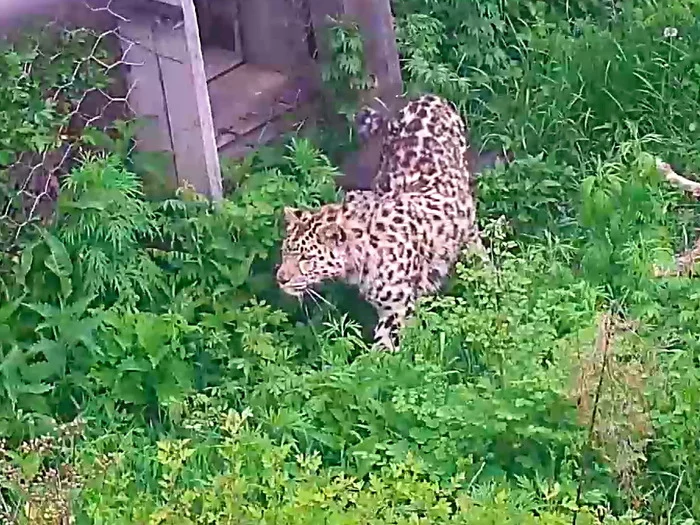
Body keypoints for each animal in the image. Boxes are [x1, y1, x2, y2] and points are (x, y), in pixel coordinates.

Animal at [276, 94, 481, 350]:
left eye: (306, 258)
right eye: (286, 251)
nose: (281, 279)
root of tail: (428, 98)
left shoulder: (397, 310)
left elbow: (381, 354)